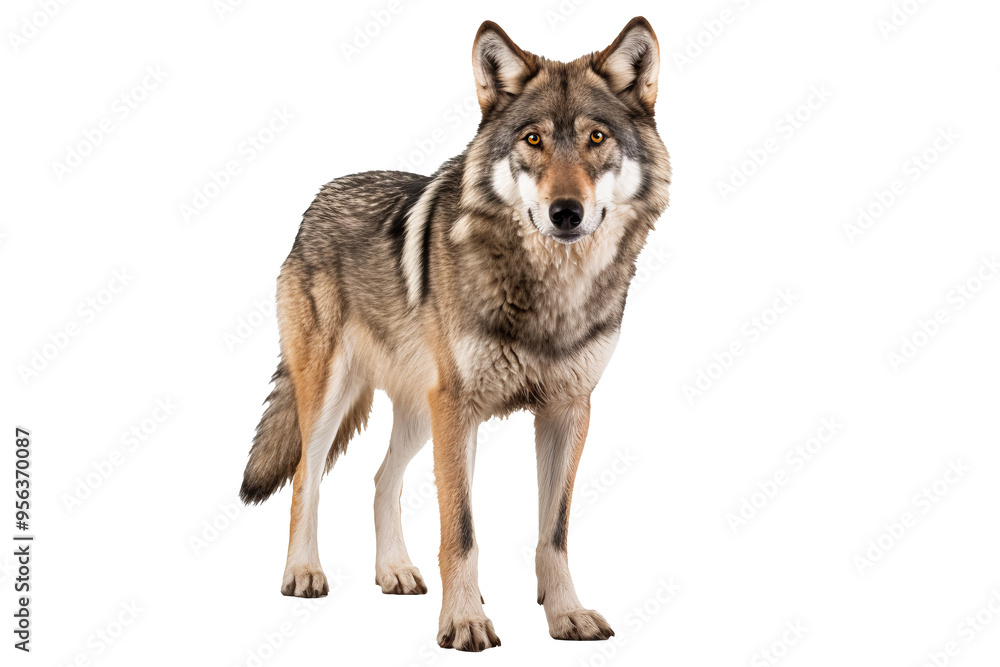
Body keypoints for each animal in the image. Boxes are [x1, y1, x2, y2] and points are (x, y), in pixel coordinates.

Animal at [239, 16, 671, 651]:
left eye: (596, 138)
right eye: (533, 140)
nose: (566, 212)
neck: (550, 294)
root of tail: (316, 200)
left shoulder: (569, 409)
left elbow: (555, 532)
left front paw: (565, 614)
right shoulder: (459, 407)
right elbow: (461, 531)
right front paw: (465, 621)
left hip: (420, 413)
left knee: (381, 478)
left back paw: (394, 571)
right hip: (334, 399)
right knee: (304, 478)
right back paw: (303, 572)